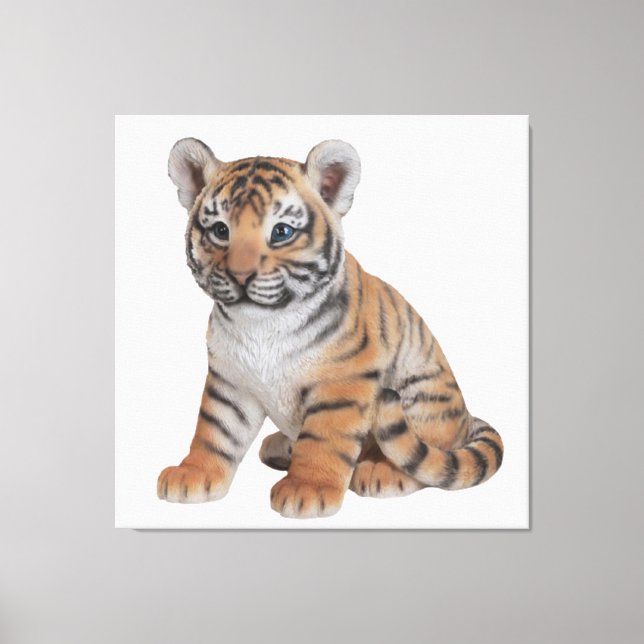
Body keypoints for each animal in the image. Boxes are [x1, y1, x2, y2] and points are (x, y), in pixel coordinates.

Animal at [157, 136, 504, 518]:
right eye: (221, 230)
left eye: (281, 232)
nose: (240, 275)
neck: (262, 324)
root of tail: (467, 419)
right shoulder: (230, 380)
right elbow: (216, 430)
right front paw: (192, 474)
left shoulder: (342, 381)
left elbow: (323, 438)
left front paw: (306, 489)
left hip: (423, 396)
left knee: (427, 459)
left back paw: (380, 472)